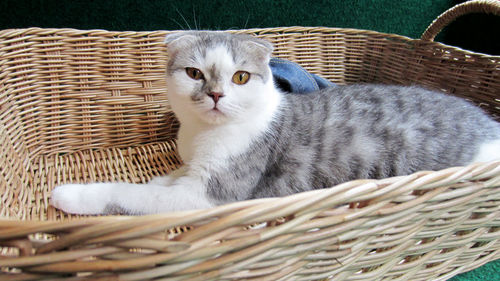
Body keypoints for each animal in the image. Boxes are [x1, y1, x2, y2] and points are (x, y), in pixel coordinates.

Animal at [49, 30, 500, 214]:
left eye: (240, 77)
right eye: (194, 73)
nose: (216, 95)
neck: (201, 136)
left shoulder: (210, 196)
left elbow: (134, 194)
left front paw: (71, 195)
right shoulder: (192, 168)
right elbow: (167, 178)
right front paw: (161, 178)